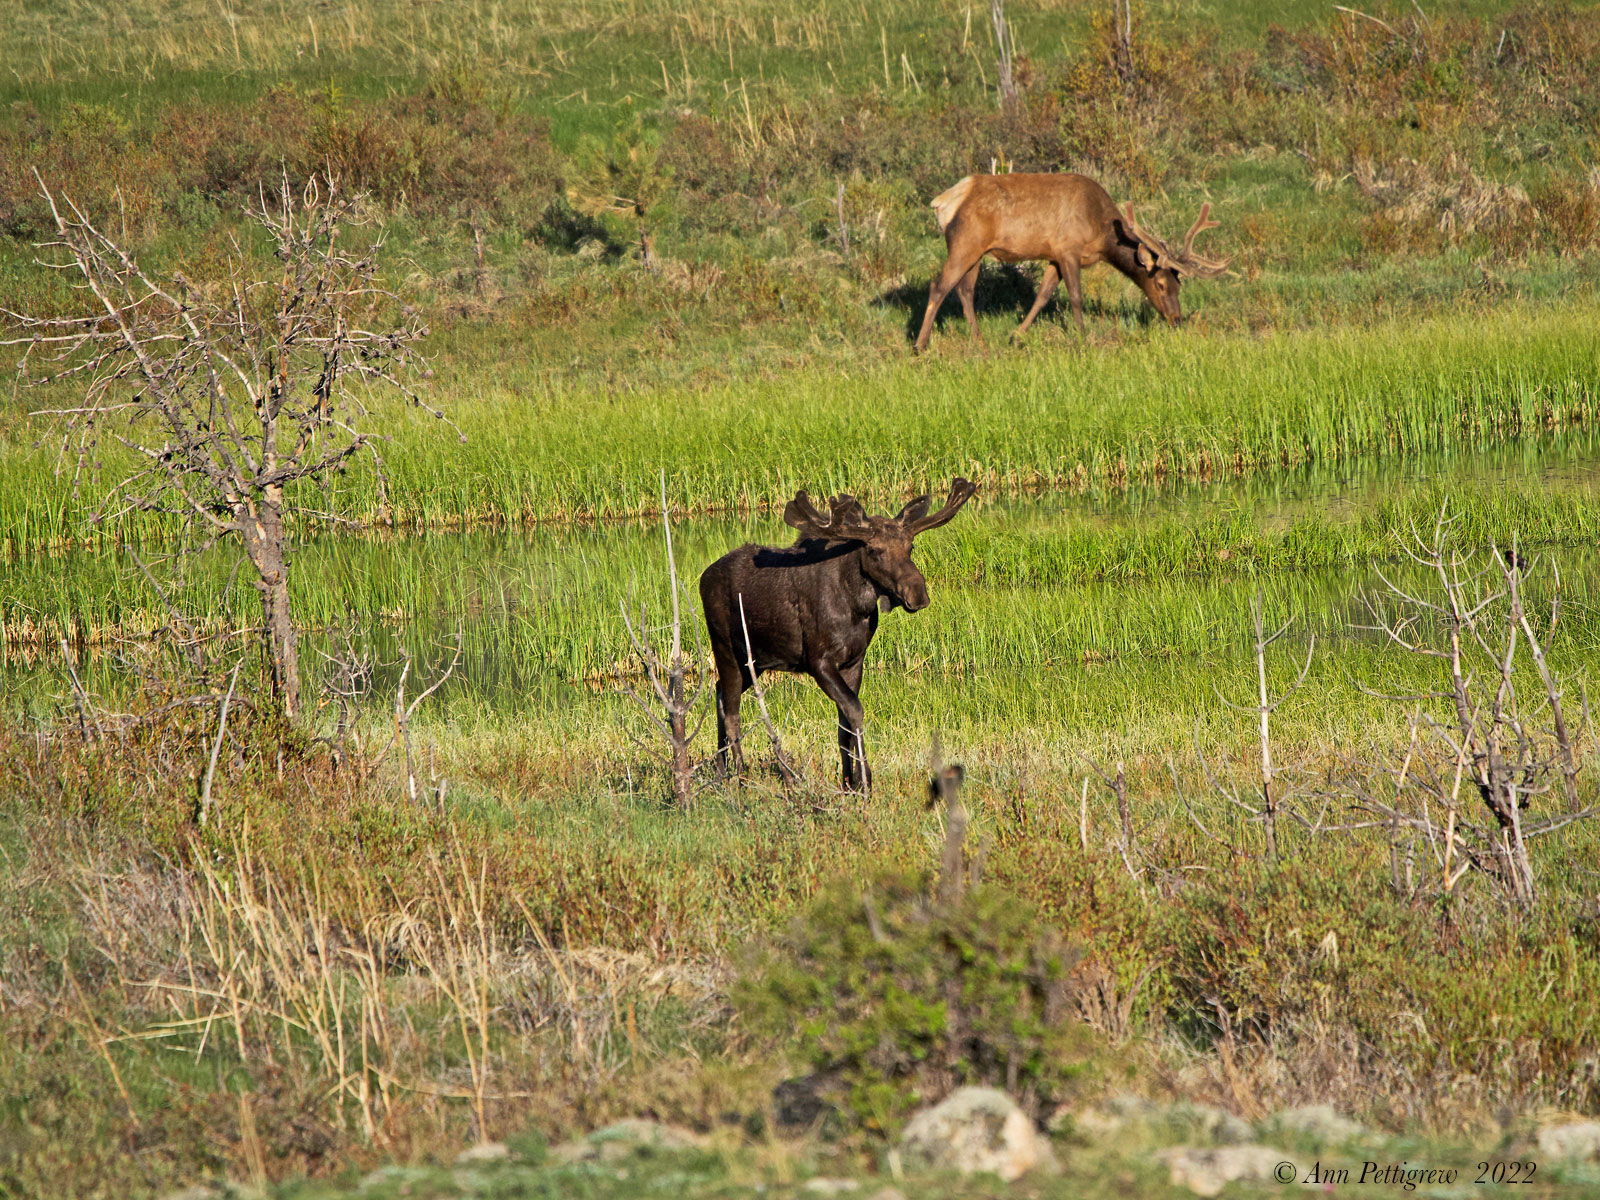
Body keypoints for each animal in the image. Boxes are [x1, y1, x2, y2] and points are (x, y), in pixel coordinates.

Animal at [697, 480, 972, 800]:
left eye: (910, 546)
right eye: (874, 550)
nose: (917, 593)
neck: (856, 606)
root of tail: (702, 578)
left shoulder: (854, 661)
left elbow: (844, 725)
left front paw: (849, 782)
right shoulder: (819, 662)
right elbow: (855, 710)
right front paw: (864, 782)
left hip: (755, 661)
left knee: (718, 692)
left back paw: (720, 772)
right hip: (725, 648)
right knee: (731, 710)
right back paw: (740, 778)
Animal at [908, 173, 1228, 352]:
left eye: (1178, 285)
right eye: (1160, 284)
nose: (1176, 319)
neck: (1100, 232)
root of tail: (942, 202)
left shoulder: (1054, 256)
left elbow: (1042, 296)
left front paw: (1016, 336)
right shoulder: (1068, 249)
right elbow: (1075, 296)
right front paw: (1083, 338)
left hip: (976, 251)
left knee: (965, 290)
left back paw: (980, 341)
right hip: (964, 243)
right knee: (939, 285)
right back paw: (920, 345)